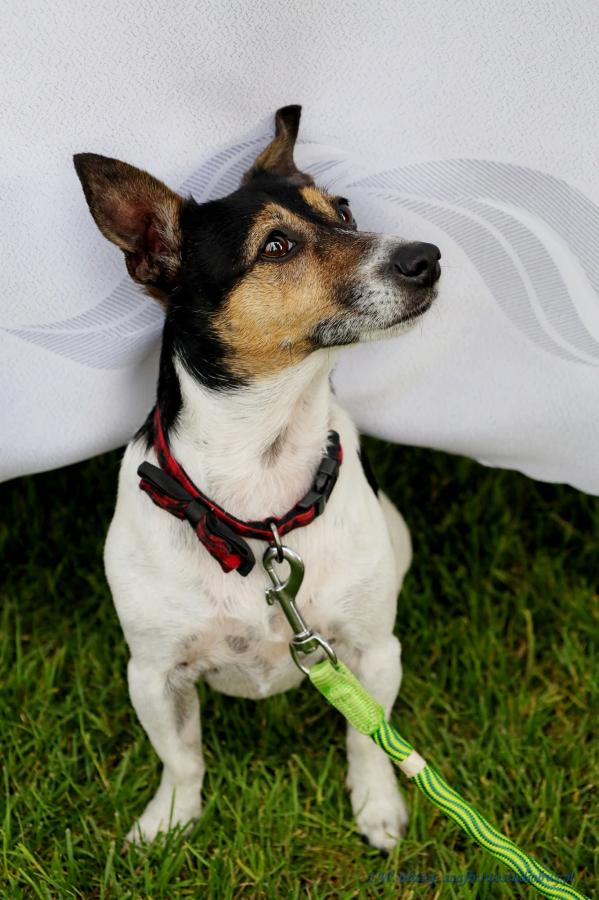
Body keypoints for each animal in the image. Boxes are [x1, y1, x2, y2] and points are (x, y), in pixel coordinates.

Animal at [73, 105, 441, 852]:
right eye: (276, 246)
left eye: (344, 210)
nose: (428, 257)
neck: (260, 490)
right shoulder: (152, 672)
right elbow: (182, 757)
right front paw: (169, 822)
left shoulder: (372, 652)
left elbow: (370, 740)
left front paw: (377, 807)